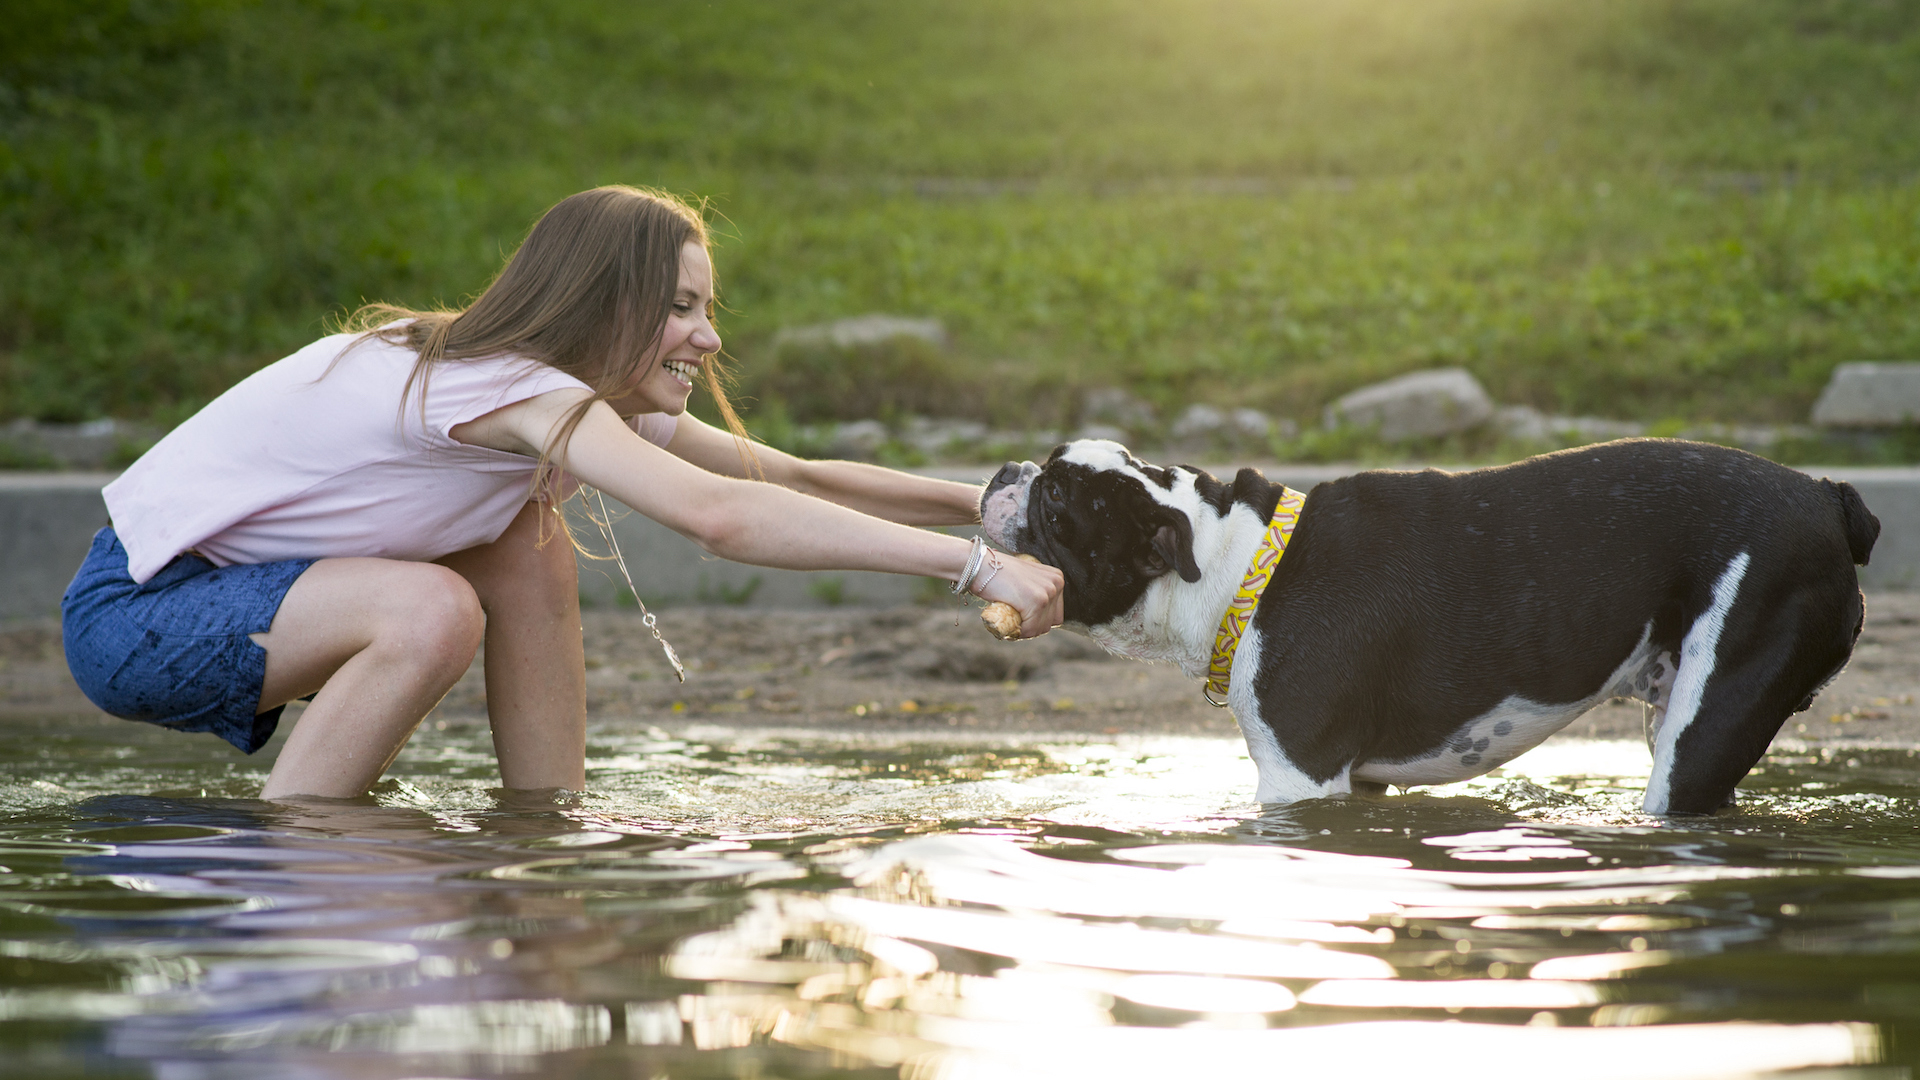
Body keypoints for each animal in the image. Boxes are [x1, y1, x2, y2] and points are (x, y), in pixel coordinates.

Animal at [983, 434, 1881, 807]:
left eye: (1057, 501)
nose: (1005, 471)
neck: (1235, 561)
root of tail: (1828, 499)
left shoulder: (1298, 780)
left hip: (1711, 718)